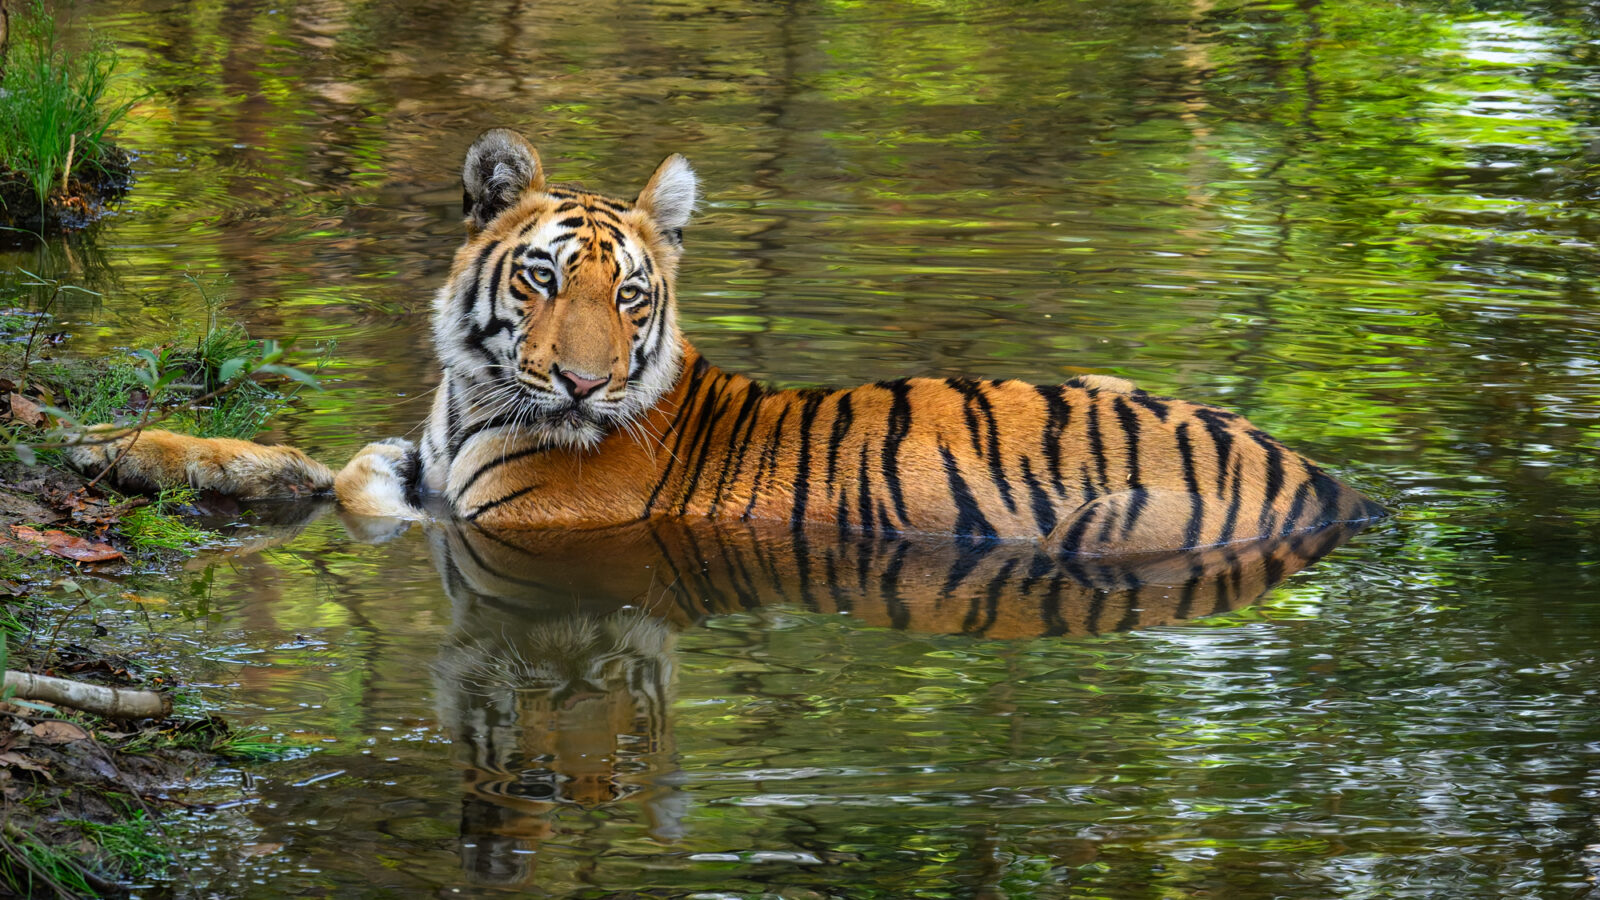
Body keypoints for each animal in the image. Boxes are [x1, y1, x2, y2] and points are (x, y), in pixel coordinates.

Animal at [66, 127, 1384, 555]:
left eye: (632, 299)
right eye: (544, 280)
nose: (583, 381)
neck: (471, 393)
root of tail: (1333, 485)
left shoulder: (503, 519)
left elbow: (337, 484)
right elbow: (296, 461)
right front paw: (112, 442)